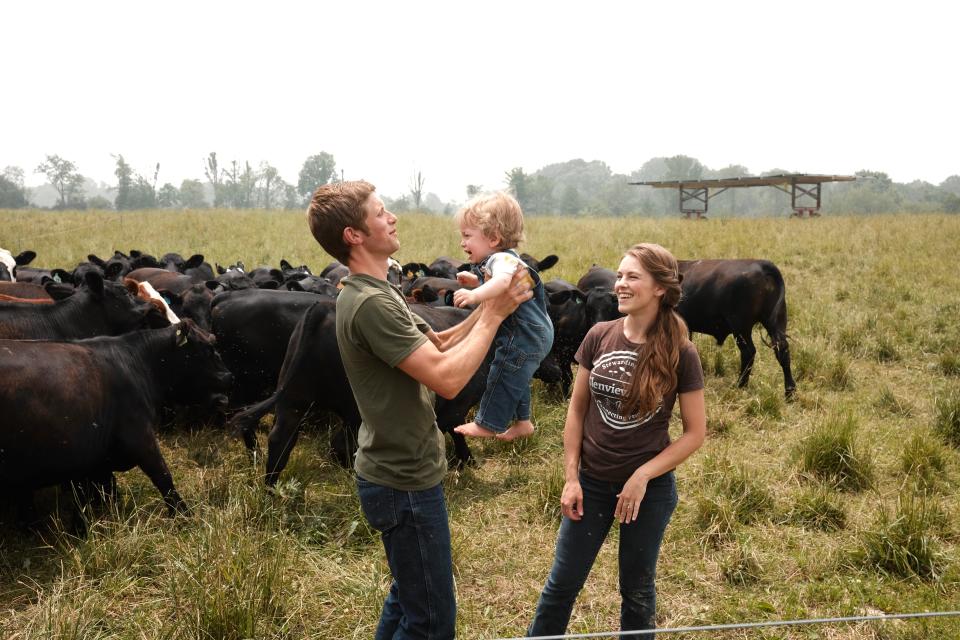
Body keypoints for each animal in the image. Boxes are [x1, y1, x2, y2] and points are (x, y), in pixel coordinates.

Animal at [676, 258, 796, 398]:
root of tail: (762, 265)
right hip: (776, 321)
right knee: (782, 351)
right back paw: (789, 392)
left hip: (741, 327)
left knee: (749, 352)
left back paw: (740, 385)